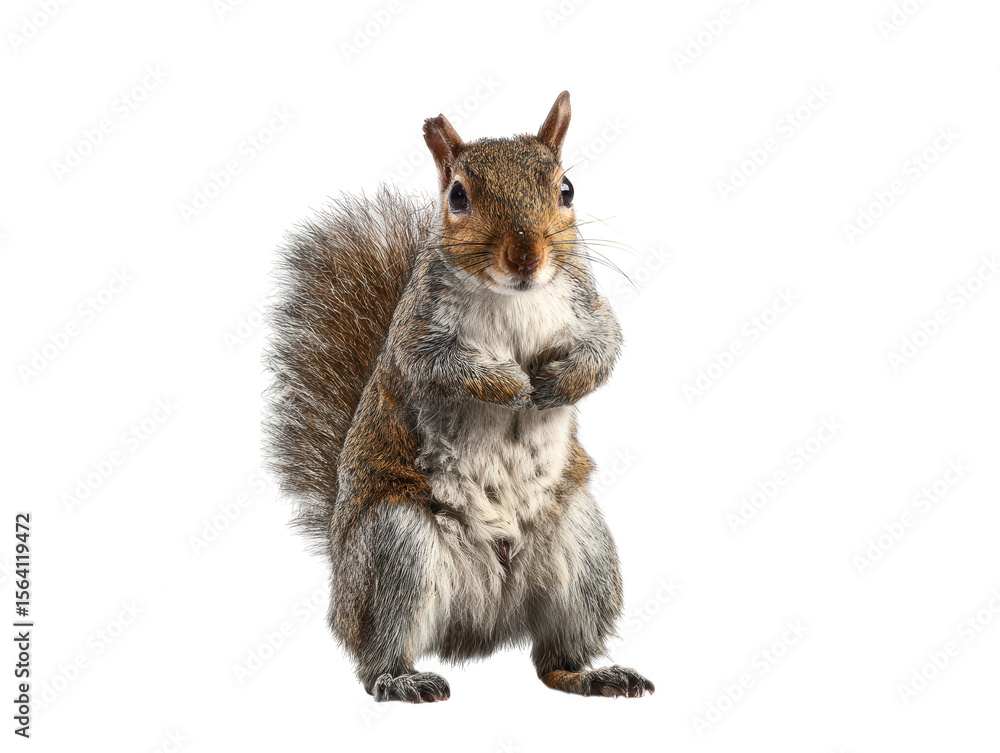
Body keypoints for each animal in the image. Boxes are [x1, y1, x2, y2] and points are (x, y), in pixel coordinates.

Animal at [264, 91, 653, 703]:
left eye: (566, 190)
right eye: (458, 196)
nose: (526, 257)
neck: (515, 296)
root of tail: (484, 621)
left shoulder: (587, 306)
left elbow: (605, 348)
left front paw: (557, 384)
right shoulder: (415, 333)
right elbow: (443, 366)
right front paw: (510, 385)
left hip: (584, 552)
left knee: (554, 661)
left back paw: (595, 674)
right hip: (395, 550)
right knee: (376, 656)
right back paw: (402, 681)